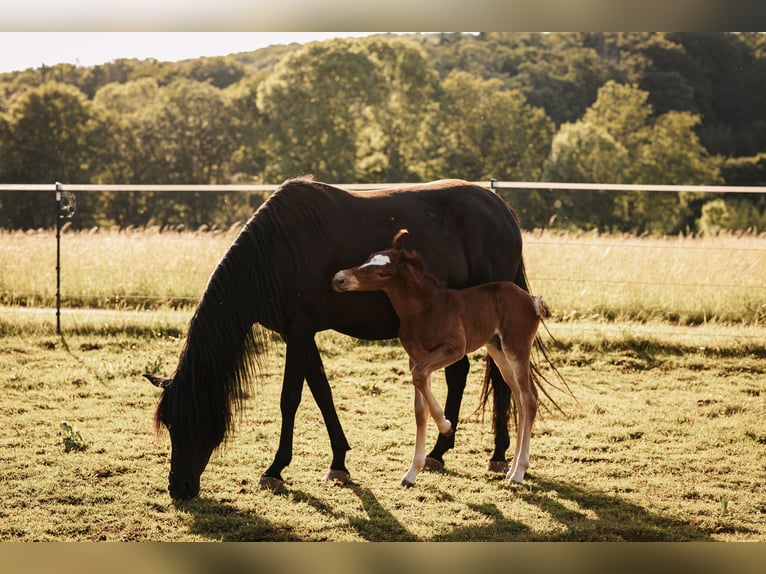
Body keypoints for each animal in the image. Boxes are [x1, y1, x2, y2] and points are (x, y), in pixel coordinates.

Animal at [332, 229, 550, 487]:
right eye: (368, 258)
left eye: (382, 272)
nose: (339, 279)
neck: (424, 309)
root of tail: (532, 300)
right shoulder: (415, 357)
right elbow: (419, 409)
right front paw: (411, 473)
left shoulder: (453, 349)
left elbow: (420, 380)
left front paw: (446, 426)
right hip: (499, 350)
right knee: (520, 396)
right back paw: (513, 468)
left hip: (516, 347)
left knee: (529, 398)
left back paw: (519, 472)